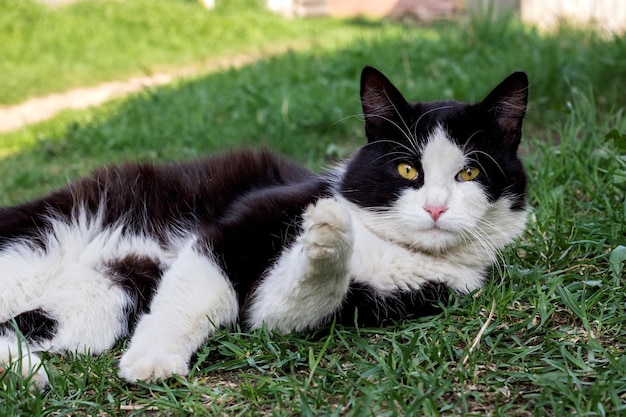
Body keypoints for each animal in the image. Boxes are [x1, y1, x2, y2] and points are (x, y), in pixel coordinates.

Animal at [0, 66, 528, 388]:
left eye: (470, 173)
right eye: (406, 169)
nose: (436, 208)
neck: (387, 242)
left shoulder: (407, 295)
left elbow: (287, 308)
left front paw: (326, 242)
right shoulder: (237, 226)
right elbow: (199, 293)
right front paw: (153, 361)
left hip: (103, 298)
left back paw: (25, 375)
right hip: (44, 236)